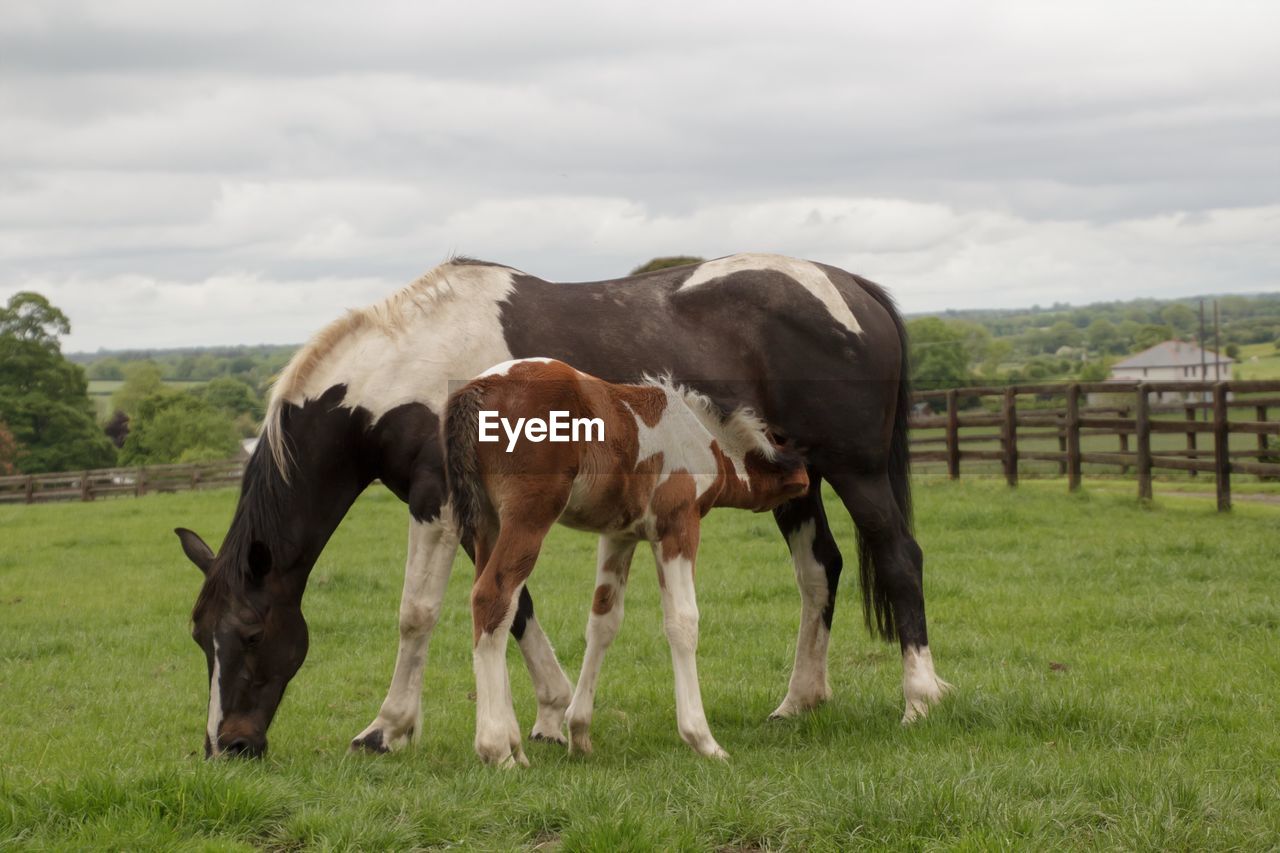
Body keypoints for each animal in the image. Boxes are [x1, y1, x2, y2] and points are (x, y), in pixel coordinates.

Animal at [445, 356, 808, 763]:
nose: (807, 487)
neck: (703, 440)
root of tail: (479, 388)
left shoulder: (619, 536)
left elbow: (604, 621)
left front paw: (580, 733)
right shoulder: (677, 525)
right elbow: (683, 621)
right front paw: (703, 740)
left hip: (486, 525)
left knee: (498, 609)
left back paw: (515, 748)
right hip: (528, 516)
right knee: (492, 597)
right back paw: (497, 750)